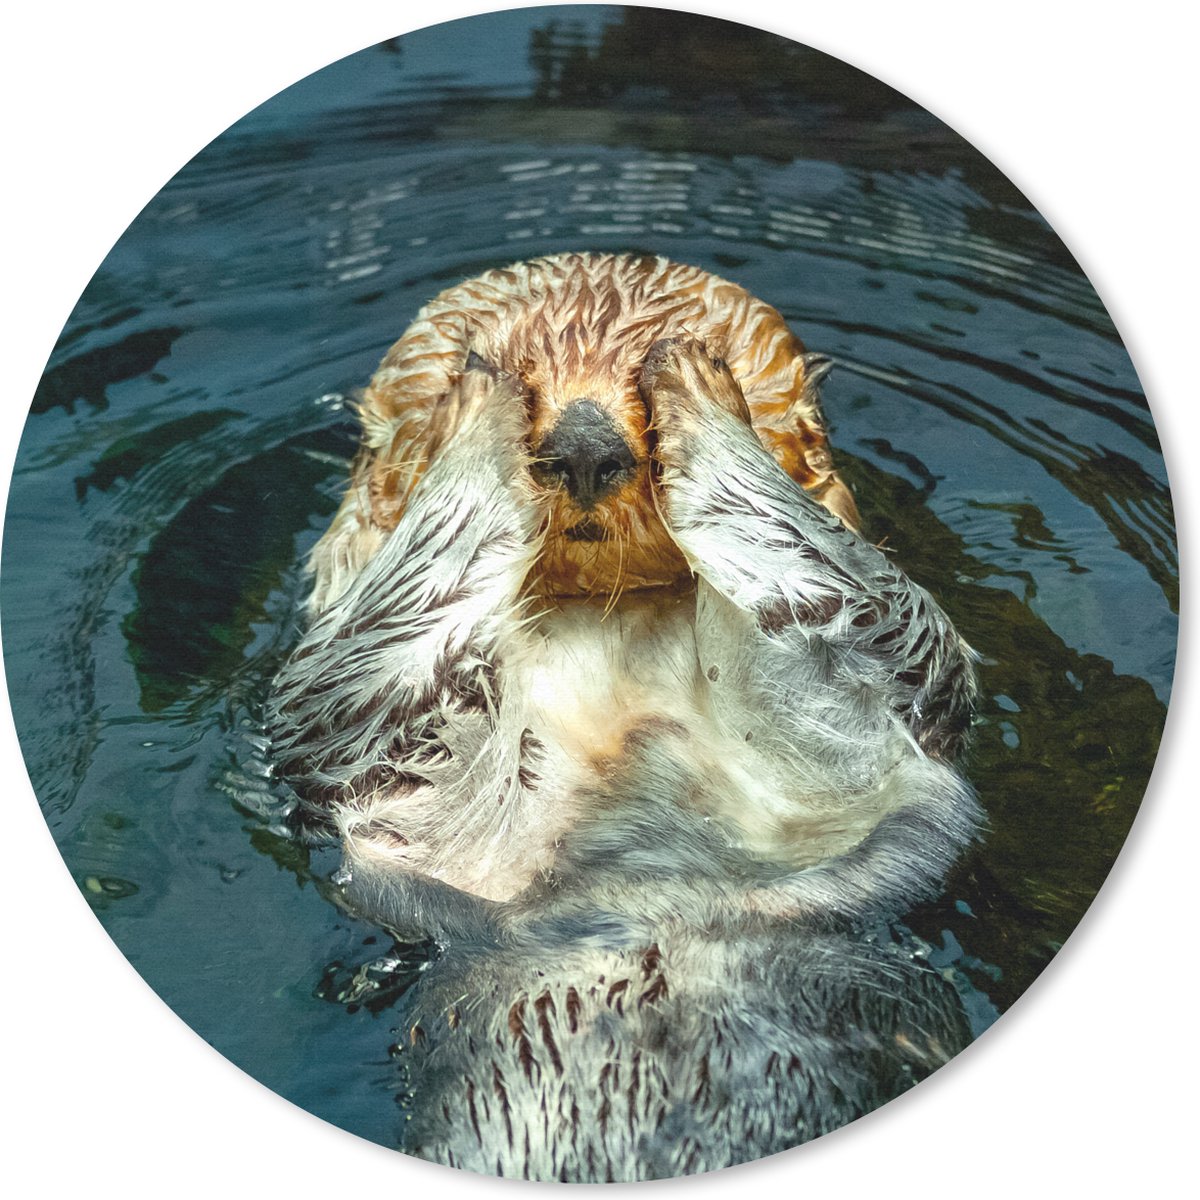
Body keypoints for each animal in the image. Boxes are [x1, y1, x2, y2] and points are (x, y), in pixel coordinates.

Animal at [268, 253, 981, 1180]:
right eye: (507, 357)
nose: (583, 444)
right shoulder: (368, 742)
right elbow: (379, 659)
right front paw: (477, 399)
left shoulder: (872, 722)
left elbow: (848, 602)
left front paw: (699, 381)